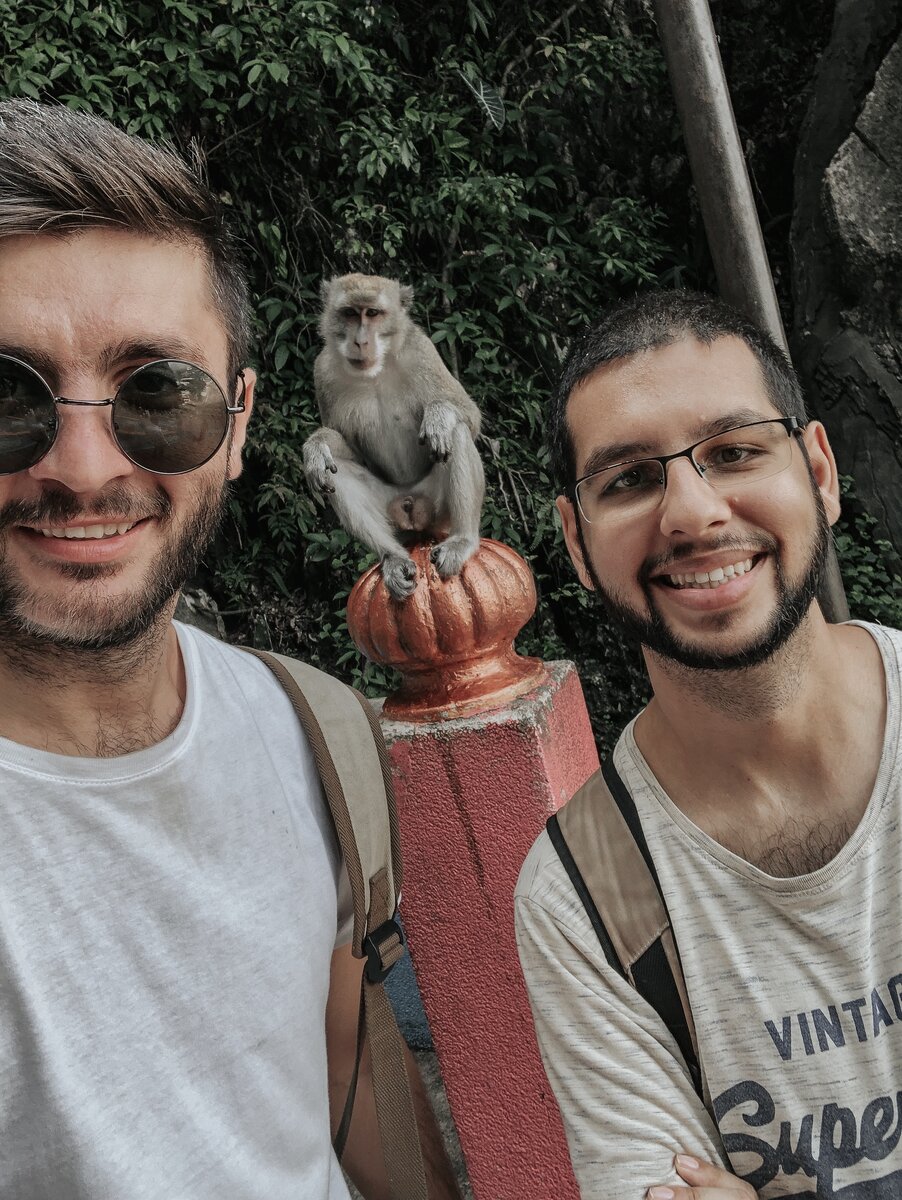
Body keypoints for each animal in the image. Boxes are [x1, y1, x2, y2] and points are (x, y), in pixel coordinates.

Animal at [303, 273, 486, 600]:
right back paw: (393, 558)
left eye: (373, 313)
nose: (360, 342)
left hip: (438, 509)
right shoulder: (322, 371)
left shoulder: (422, 351)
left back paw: (462, 541)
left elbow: (468, 415)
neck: (375, 371)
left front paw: (438, 415)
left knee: (457, 431)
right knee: (335, 471)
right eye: (349, 313)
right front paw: (316, 447)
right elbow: (348, 451)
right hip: (392, 509)